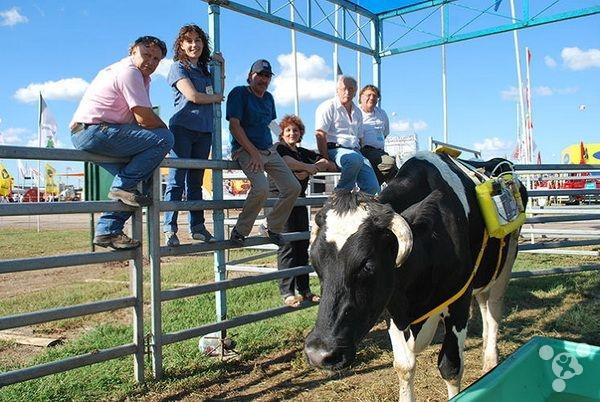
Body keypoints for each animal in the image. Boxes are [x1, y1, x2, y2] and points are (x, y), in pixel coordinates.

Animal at [308, 152, 528, 400]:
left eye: (367, 264)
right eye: (315, 261)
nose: (319, 353)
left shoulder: (459, 299)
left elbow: (450, 366)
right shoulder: (391, 305)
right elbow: (403, 365)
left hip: (506, 263)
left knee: (494, 312)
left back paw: (491, 361)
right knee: (484, 305)